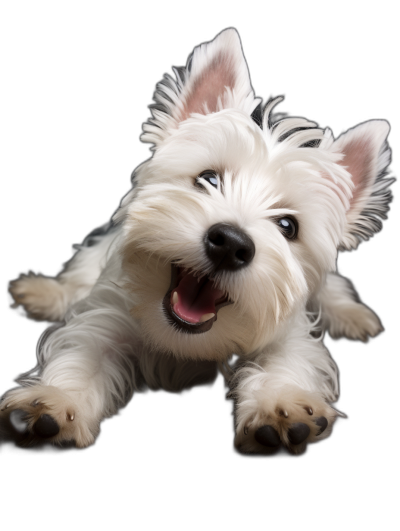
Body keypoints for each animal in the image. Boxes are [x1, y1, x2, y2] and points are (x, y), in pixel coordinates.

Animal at [1, 29, 392, 456]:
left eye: (288, 226)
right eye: (208, 178)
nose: (230, 243)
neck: (187, 343)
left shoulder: (287, 331)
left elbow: (290, 359)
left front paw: (283, 407)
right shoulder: (109, 316)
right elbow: (84, 354)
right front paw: (56, 402)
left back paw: (353, 316)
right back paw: (44, 293)